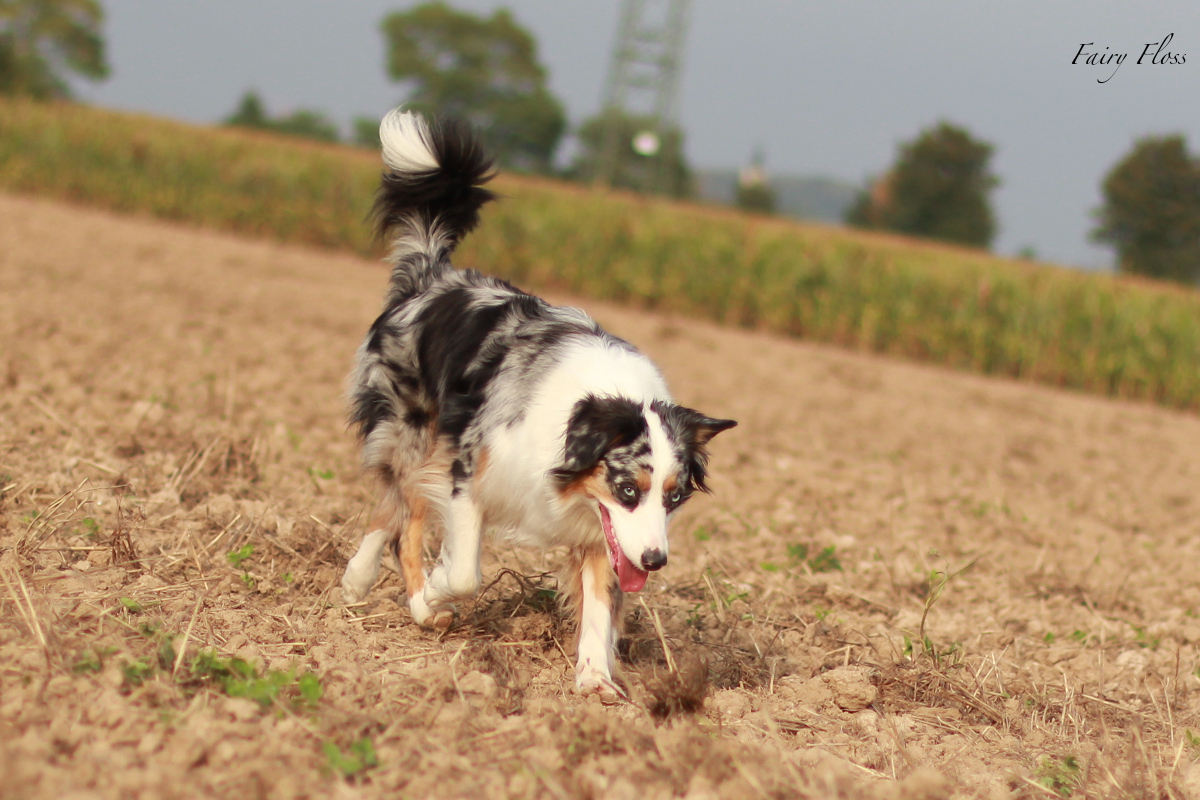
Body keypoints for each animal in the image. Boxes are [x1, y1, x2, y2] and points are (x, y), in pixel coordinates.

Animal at [343, 109, 734, 695]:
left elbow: (599, 607)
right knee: (399, 517)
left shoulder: (601, 533)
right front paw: (435, 589)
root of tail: (433, 277)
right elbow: (464, 572)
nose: (655, 561)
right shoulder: (467, 473)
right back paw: (407, 600)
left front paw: (595, 680)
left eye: (675, 497)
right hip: (412, 435)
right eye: (628, 489)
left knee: (390, 509)